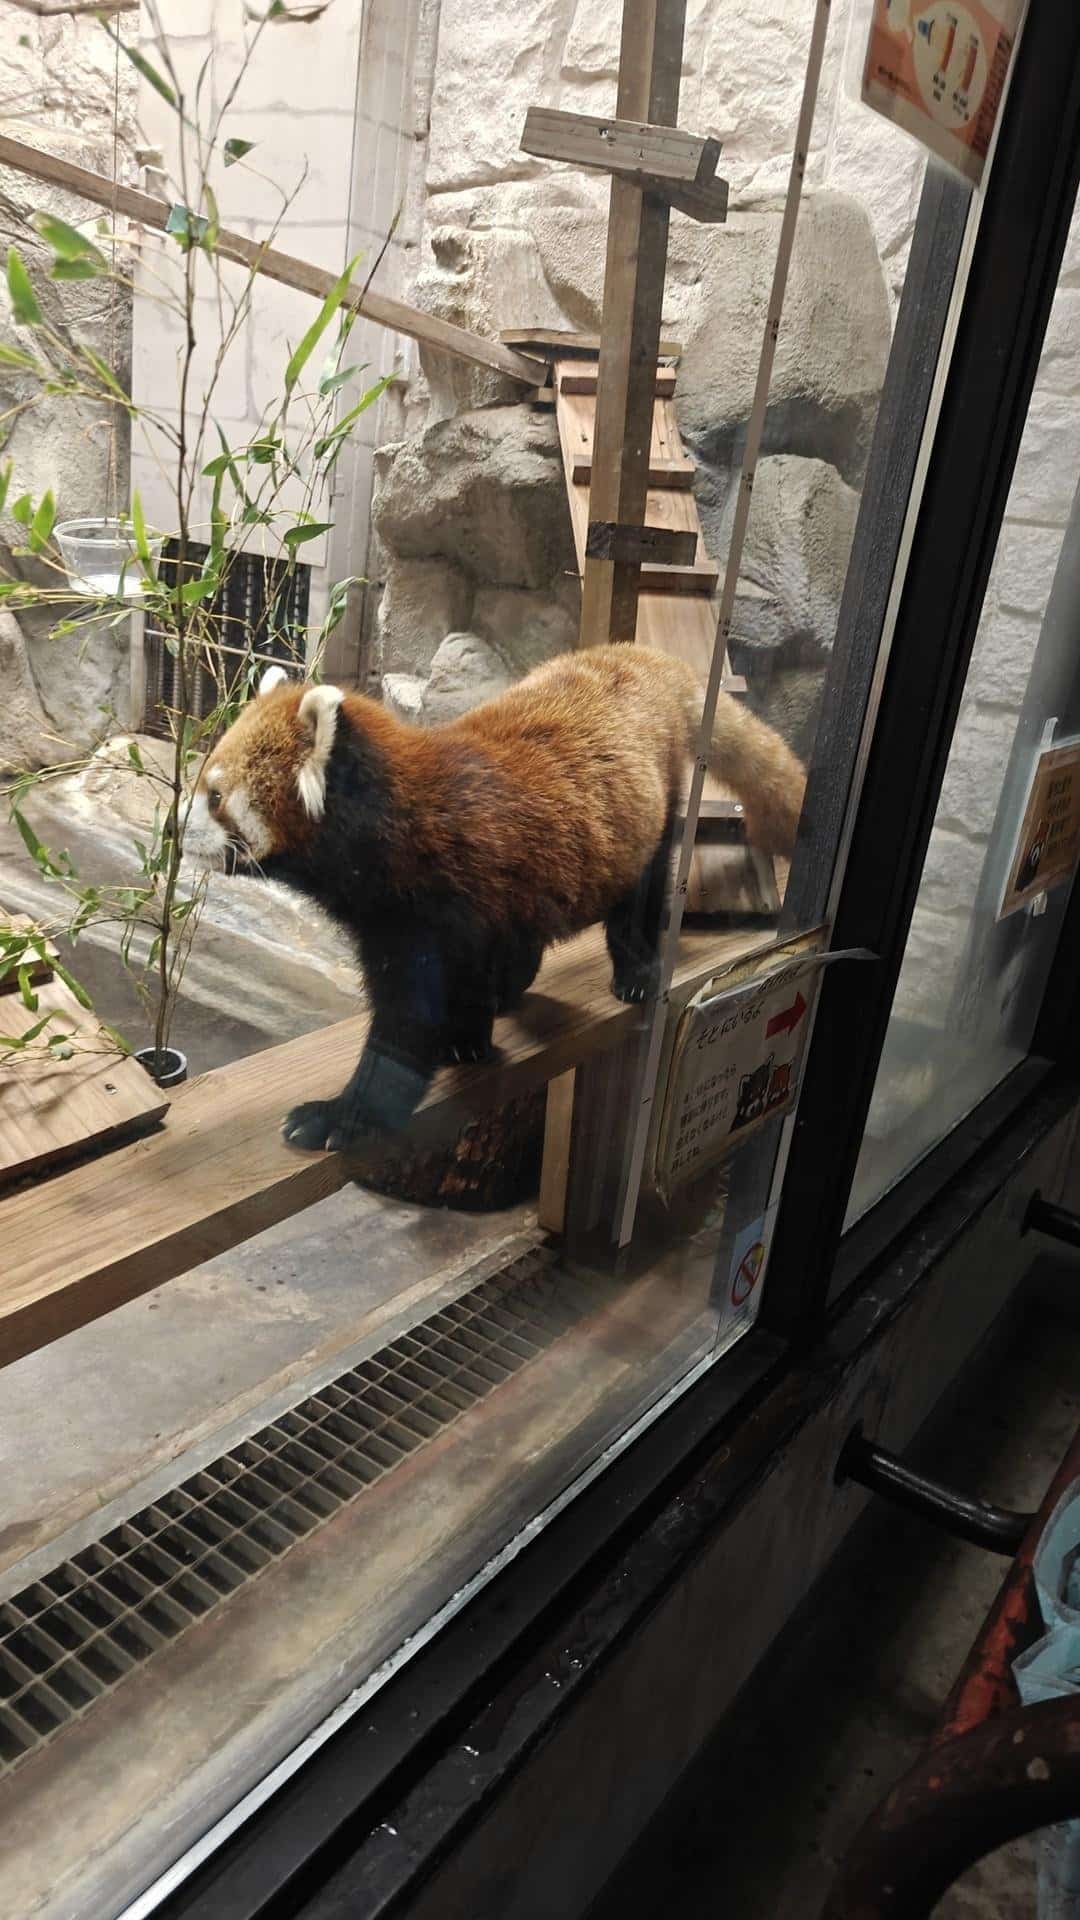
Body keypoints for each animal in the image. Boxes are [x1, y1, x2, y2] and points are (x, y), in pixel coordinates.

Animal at [186, 645, 806, 1153]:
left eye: (215, 796)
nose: (173, 829)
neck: (394, 833)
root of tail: (637, 656)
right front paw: (466, 1037)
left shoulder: (431, 909)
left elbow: (407, 1027)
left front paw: (343, 1115)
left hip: (649, 817)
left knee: (640, 895)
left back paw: (634, 971)